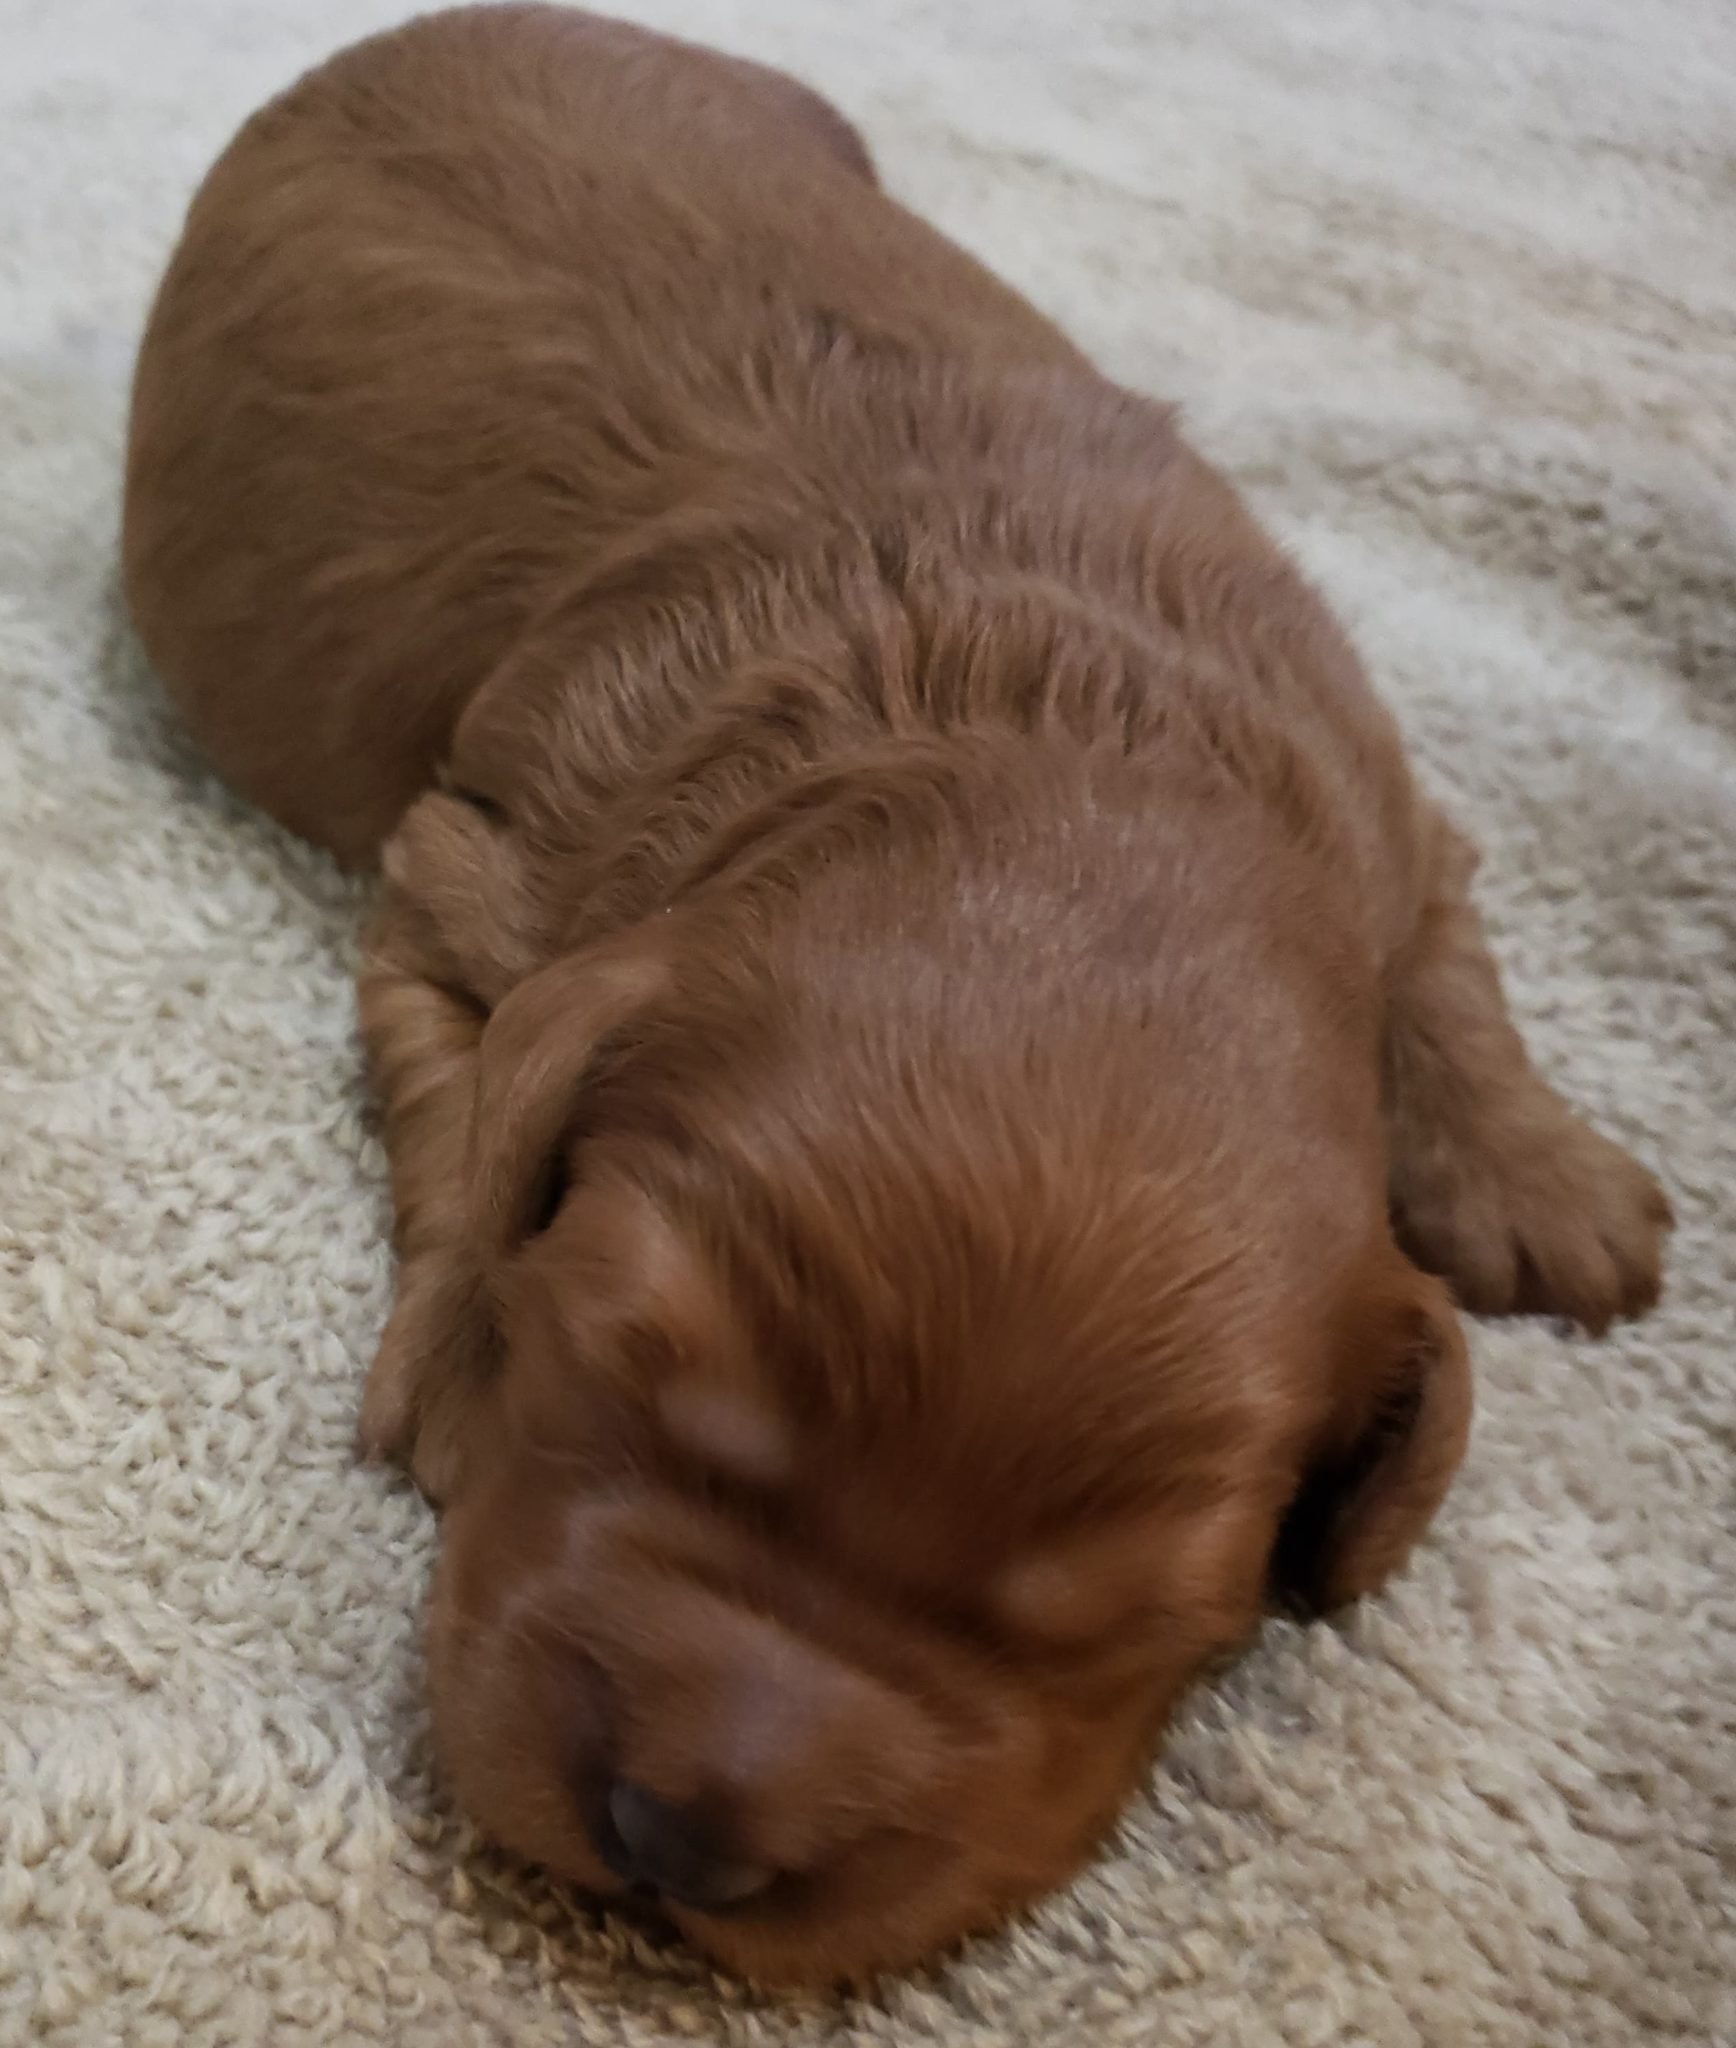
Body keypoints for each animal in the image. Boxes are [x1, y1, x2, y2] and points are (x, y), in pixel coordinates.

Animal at [118, 0, 1670, 1982]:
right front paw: (454, 1355)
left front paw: (1552, 1191)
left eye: (1130, 1616)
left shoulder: (1382, 799)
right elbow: (469, 1121)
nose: (679, 1836)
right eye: (605, 1364)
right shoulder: (466, 871)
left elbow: (1449, 954)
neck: (1066, 727)